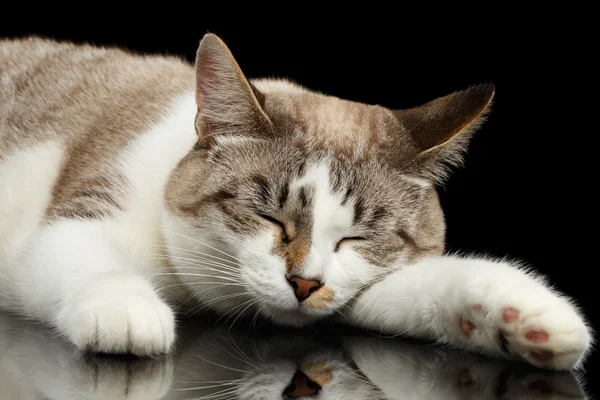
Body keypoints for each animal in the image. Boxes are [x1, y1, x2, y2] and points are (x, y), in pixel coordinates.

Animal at [0, 32, 592, 370]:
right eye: (270, 217)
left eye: (356, 236)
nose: (304, 284)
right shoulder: (77, 221)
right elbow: (84, 261)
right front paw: (128, 311)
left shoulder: (357, 289)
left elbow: (434, 285)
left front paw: (524, 319)